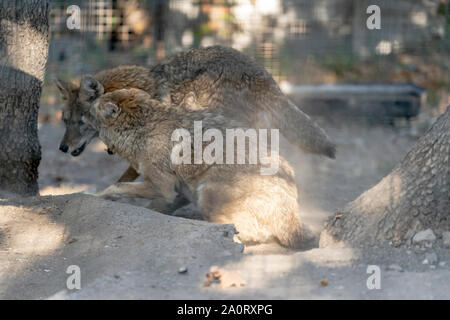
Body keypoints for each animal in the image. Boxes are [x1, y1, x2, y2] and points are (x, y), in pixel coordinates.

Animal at [84, 87, 302, 248]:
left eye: (90, 112)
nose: (81, 116)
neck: (143, 129)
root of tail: (292, 219)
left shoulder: (162, 186)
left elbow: (116, 186)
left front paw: (94, 195)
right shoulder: (178, 190)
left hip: (207, 193)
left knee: (237, 232)